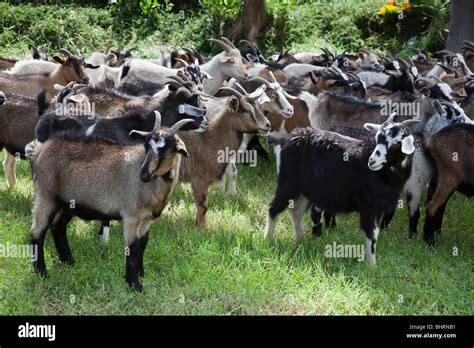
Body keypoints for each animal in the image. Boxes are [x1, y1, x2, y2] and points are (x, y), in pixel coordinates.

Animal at [264, 113, 416, 266]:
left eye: (396, 143)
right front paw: (372, 265)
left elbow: (375, 232)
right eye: (377, 137)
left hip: (303, 191)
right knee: (273, 208)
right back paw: (268, 240)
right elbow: (372, 233)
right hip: (288, 183)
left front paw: (371, 263)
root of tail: (287, 140)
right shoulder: (369, 205)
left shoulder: (379, 207)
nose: (372, 161)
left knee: (296, 212)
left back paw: (301, 240)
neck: (386, 174)